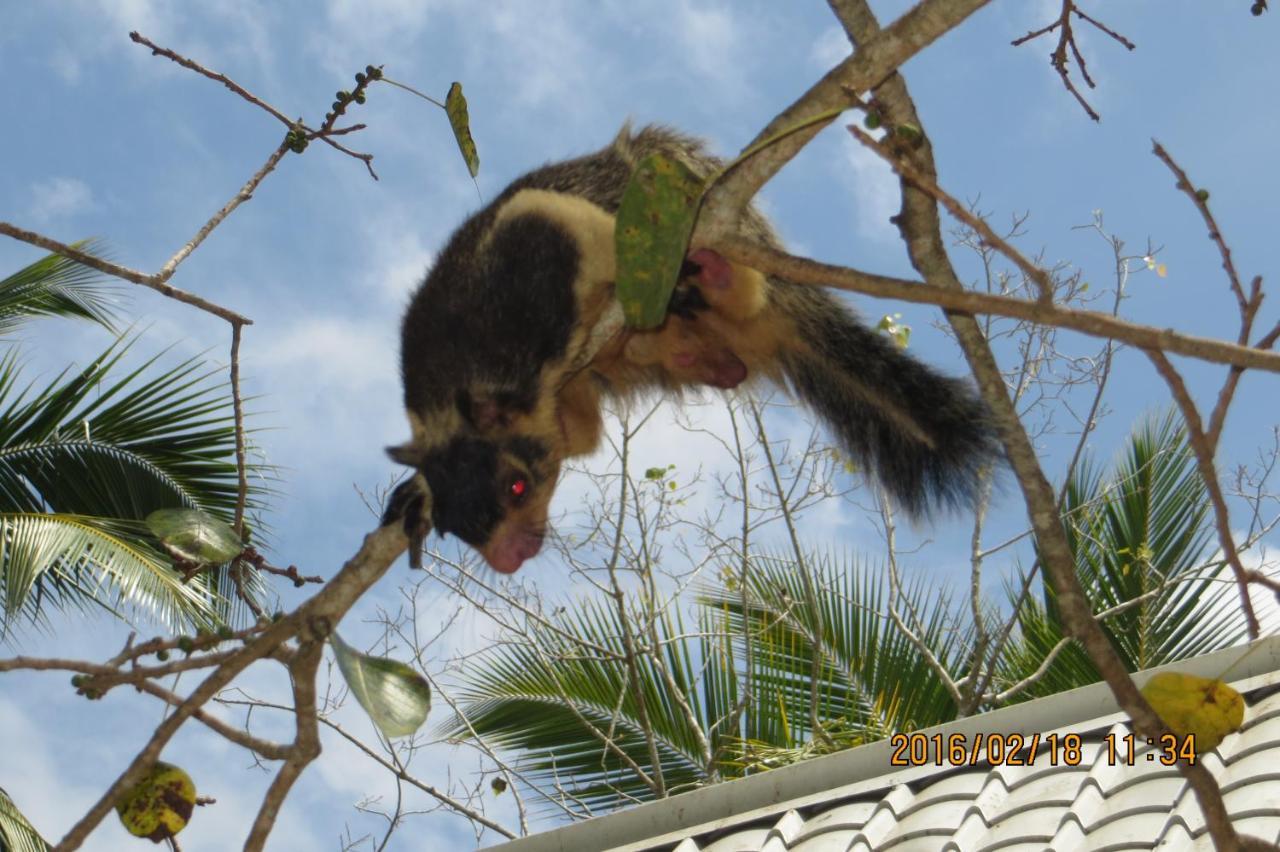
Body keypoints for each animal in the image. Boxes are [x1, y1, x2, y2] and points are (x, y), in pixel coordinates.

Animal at [381, 122, 998, 570]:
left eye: (516, 484)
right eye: (453, 527)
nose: (510, 559)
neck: (459, 371)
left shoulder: (547, 237)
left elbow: (597, 235)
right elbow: (579, 436)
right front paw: (413, 497)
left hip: (702, 199)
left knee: (742, 283)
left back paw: (714, 282)